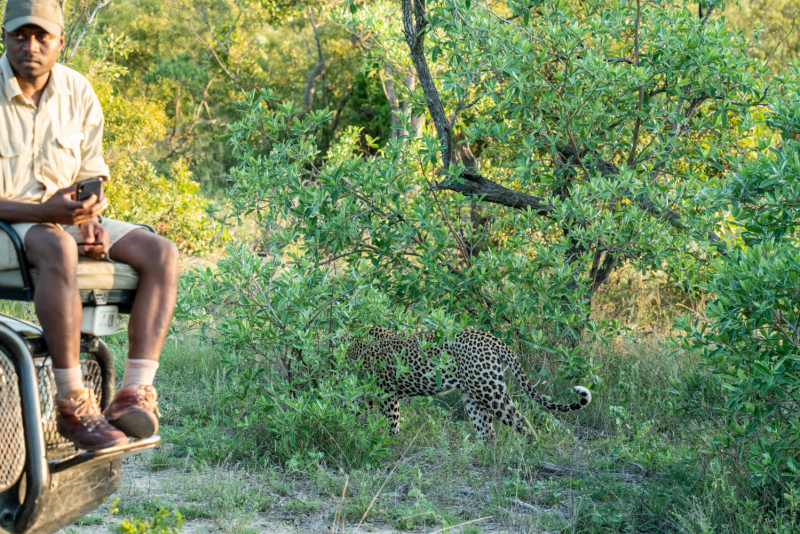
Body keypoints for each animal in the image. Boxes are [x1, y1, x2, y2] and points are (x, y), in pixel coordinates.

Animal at [346, 326, 592, 444]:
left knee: (519, 420)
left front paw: (388, 443)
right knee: (487, 431)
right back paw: (476, 455)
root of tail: (493, 339)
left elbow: (392, 422)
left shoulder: (385, 393)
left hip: (489, 390)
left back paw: (533, 451)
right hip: (473, 395)